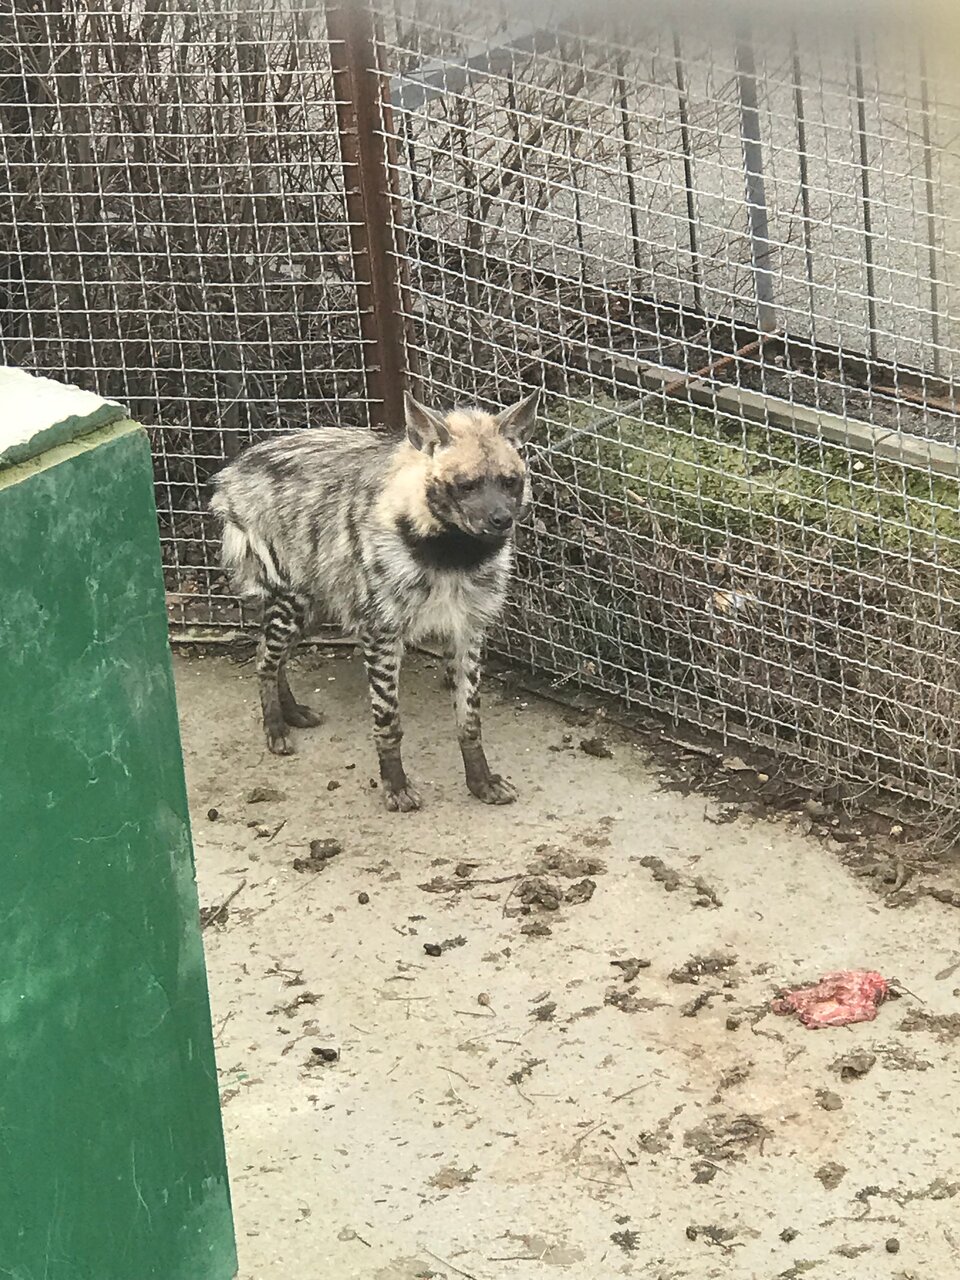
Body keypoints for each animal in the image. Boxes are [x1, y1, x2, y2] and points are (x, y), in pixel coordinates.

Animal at [209, 389, 540, 812]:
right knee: (264, 656)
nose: (501, 519)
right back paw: (277, 729)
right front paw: (396, 789)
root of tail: (234, 470)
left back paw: (295, 713)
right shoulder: (381, 629)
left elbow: (469, 720)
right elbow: (388, 720)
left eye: (510, 481)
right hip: (295, 595)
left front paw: (483, 783)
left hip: (317, 602)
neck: (451, 557)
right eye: (466, 485)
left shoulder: (468, 627)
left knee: (271, 650)